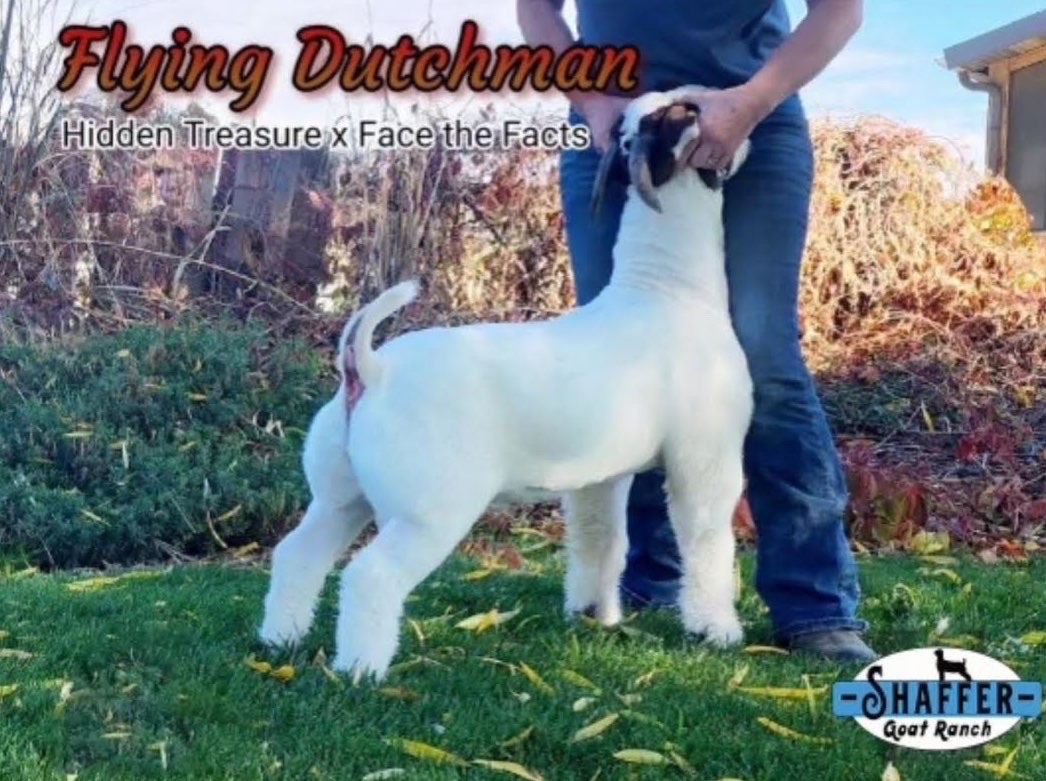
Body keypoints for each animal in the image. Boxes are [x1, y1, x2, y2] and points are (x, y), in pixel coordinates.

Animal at [259, 89, 754, 681]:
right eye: (689, 111)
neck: (665, 289)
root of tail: (369, 369)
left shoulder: (597, 478)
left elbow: (599, 541)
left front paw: (594, 614)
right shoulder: (706, 460)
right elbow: (707, 544)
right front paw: (715, 629)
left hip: (339, 496)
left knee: (298, 555)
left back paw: (280, 640)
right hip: (429, 512)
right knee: (371, 576)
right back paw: (362, 671)